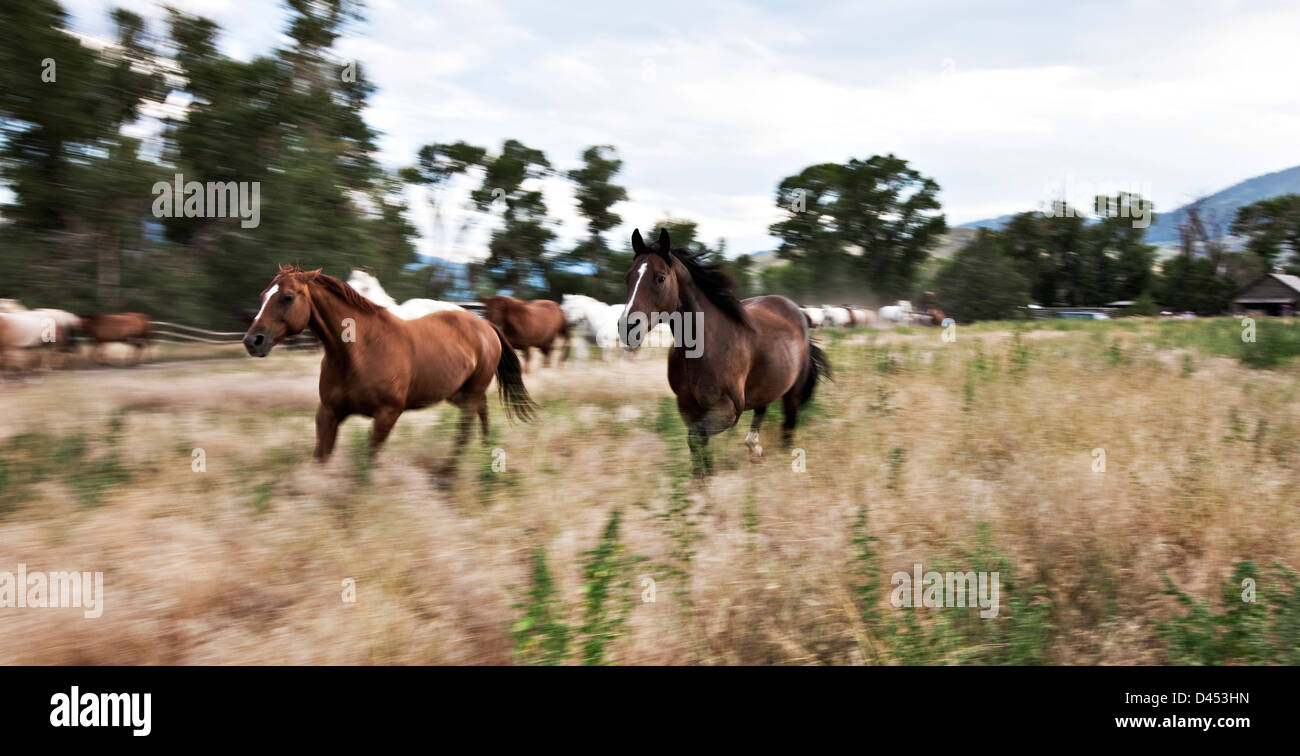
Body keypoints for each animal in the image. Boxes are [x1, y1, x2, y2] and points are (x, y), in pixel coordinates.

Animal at [243, 266, 537, 471]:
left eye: (287, 297)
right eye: (263, 295)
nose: (252, 340)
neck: (357, 352)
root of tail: (485, 325)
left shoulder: (387, 414)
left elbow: (368, 463)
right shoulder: (328, 413)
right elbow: (321, 457)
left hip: (470, 393)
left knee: (465, 431)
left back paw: (449, 475)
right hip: (458, 393)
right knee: (482, 412)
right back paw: (484, 452)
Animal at [620, 228, 830, 476]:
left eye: (660, 277)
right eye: (628, 277)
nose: (627, 327)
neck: (703, 348)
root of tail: (798, 312)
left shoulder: (729, 409)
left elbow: (696, 439)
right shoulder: (688, 407)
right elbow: (699, 447)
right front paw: (704, 479)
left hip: (792, 393)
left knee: (788, 428)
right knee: (762, 409)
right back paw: (754, 448)